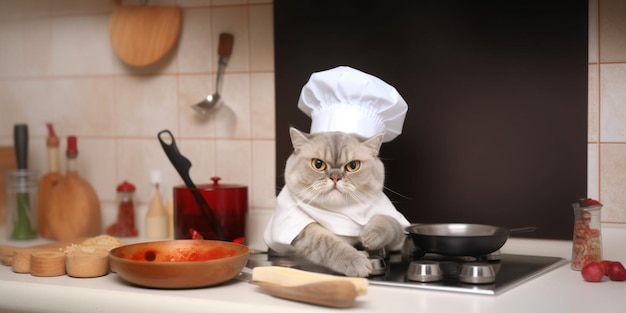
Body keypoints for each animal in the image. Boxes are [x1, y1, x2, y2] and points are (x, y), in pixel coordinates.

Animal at [264, 127, 410, 276]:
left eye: (353, 165)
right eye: (318, 164)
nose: (335, 178)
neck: (339, 211)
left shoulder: (398, 234)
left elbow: (387, 222)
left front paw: (370, 237)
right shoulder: (301, 227)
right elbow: (327, 243)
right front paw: (355, 261)